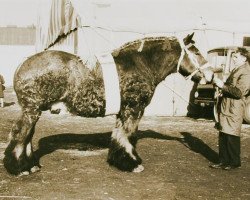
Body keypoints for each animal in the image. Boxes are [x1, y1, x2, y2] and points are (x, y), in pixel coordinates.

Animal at [3, 32, 211, 175]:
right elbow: (128, 136)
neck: (140, 64)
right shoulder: (133, 109)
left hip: (34, 111)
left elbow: (119, 135)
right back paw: (21, 168)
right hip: (31, 110)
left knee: (27, 136)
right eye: (196, 51)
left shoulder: (123, 111)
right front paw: (132, 164)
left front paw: (118, 160)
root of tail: (22, 64)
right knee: (20, 134)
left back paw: (31, 165)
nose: (209, 75)